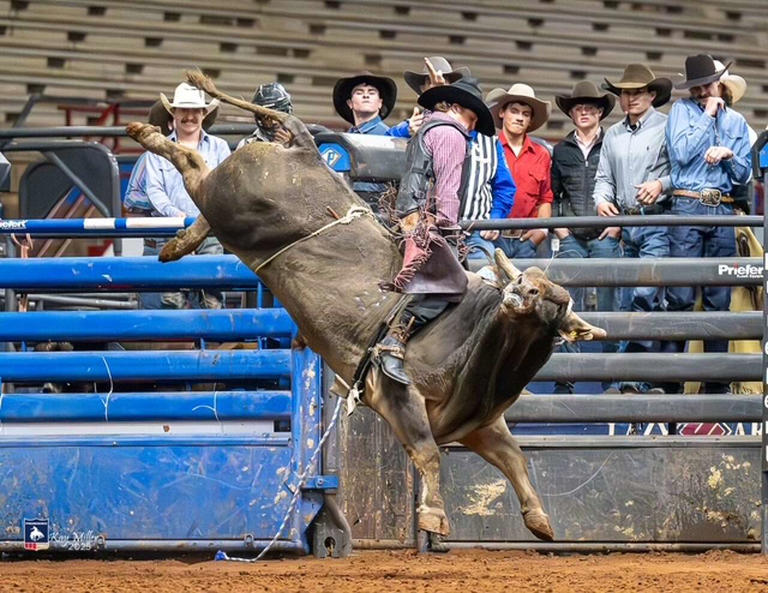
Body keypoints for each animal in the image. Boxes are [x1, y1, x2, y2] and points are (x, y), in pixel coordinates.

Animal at [126, 70, 605, 548]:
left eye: (550, 298)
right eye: (524, 284)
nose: (517, 291)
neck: (475, 343)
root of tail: (304, 148)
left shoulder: (480, 425)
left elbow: (515, 459)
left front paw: (539, 520)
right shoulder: (400, 396)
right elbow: (428, 453)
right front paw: (433, 517)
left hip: (227, 206)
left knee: (198, 173)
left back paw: (176, 241)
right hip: (227, 203)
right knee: (189, 161)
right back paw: (144, 134)